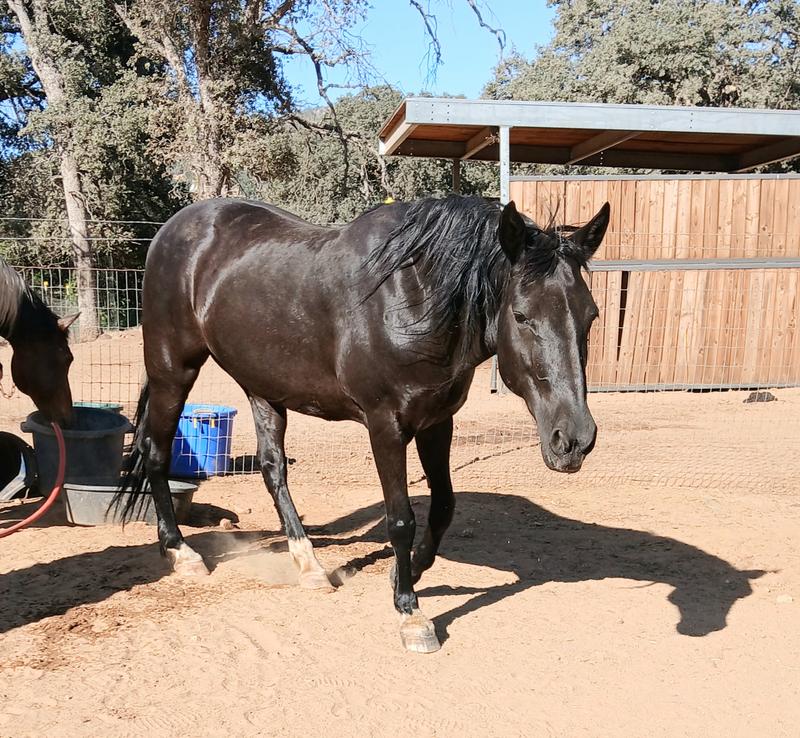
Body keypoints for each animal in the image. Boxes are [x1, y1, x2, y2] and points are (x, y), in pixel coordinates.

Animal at [117, 194, 610, 653]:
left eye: (591, 315)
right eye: (522, 316)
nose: (574, 439)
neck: (414, 299)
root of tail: (174, 228)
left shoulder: (436, 422)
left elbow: (444, 507)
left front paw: (405, 572)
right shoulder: (385, 426)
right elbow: (401, 518)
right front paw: (411, 613)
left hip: (263, 388)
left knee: (273, 469)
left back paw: (310, 566)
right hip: (172, 369)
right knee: (156, 452)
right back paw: (181, 552)